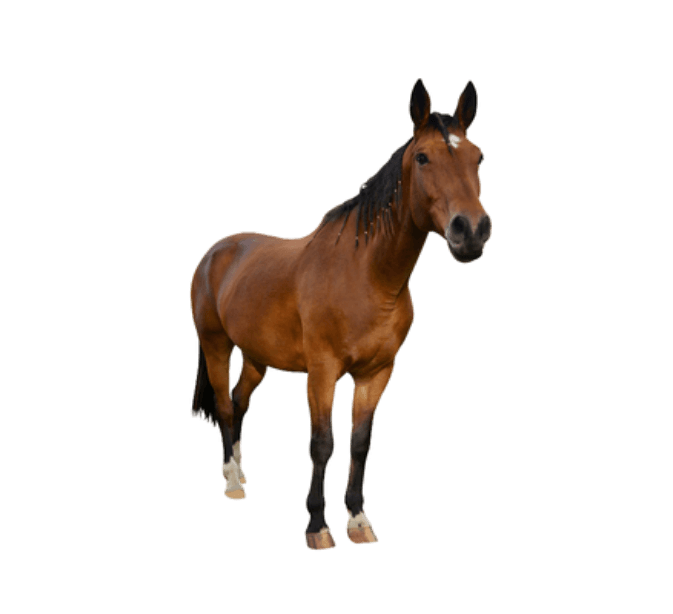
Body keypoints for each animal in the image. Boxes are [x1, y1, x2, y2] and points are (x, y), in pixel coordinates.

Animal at [189, 78, 492, 551]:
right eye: (423, 157)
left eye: (478, 157)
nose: (472, 230)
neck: (366, 275)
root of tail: (216, 251)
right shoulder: (323, 371)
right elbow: (322, 443)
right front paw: (318, 527)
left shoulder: (377, 372)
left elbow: (359, 444)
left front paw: (358, 521)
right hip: (216, 344)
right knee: (222, 405)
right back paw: (233, 482)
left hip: (257, 357)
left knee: (238, 404)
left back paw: (241, 473)